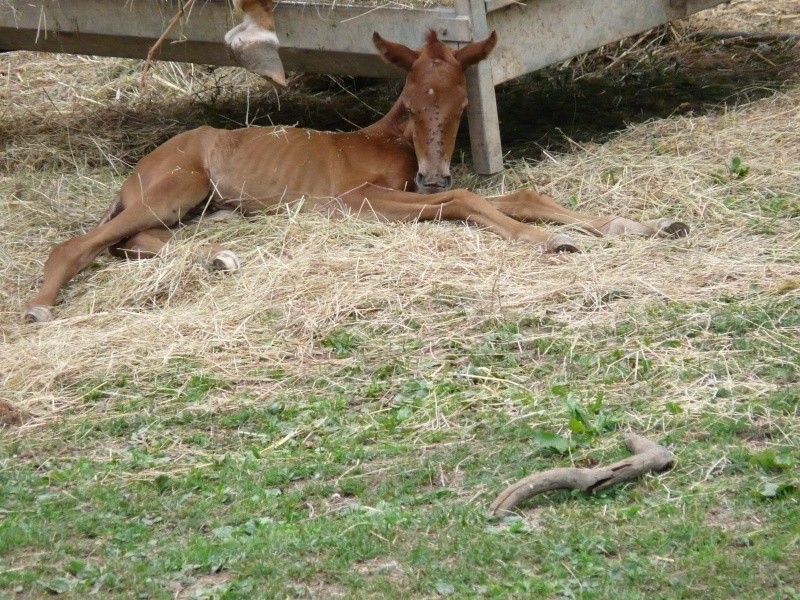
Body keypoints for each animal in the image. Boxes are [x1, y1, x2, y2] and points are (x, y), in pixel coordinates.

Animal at [23, 31, 688, 324]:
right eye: (412, 106)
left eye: (462, 107)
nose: (431, 174)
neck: (390, 145)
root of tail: (138, 168)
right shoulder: (358, 199)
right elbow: (465, 198)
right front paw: (547, 240)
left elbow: (524, 193)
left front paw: (642, 224)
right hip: (178, 186)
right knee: (84, 243)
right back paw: (39, 307)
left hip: (197, 203)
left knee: (136, 241)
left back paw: (221, 259)